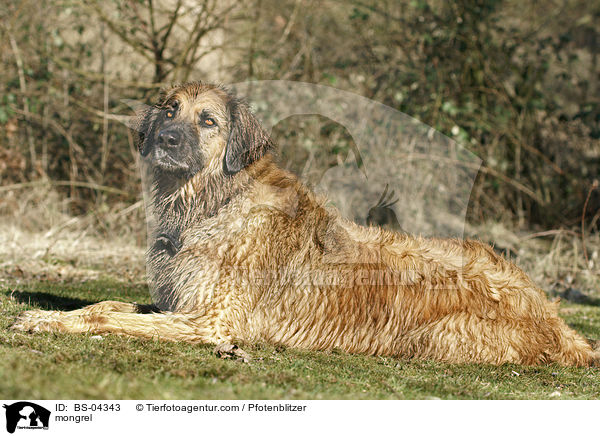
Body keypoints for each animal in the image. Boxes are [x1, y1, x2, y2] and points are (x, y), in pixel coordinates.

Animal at [10, 81, 600, 364]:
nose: (166, 139)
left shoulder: (211, 320)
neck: (213, 201)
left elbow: (111, 320)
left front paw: (55, 324)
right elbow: (109, 304)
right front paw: (55, 315)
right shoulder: (182, 302)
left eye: (208, 120)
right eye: (169, 109)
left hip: (443, 335)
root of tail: (555, 317)